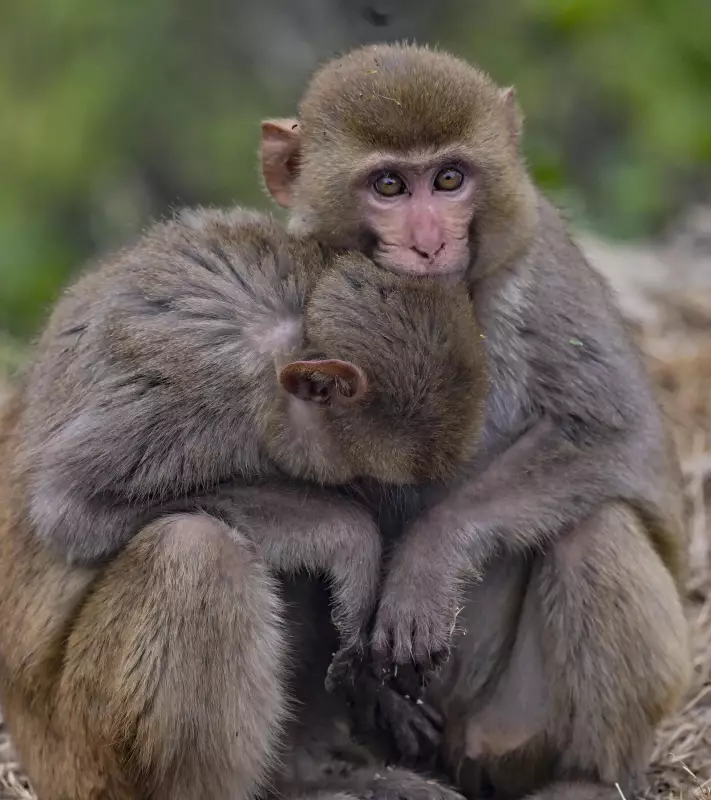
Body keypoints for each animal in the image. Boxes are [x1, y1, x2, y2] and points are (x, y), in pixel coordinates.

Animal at [0, 205, 487, 799]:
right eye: (357, 482)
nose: (372, 503)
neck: (294, 324)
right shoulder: (202, 389)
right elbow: (71, 512)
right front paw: (347, 534)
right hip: (82, 757)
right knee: (196, 549)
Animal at [260, 42, 691, 800]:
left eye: (450, 179)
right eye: (390, 186)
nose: (431, 244)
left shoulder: (538, 263)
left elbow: (615, 429)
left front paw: (427, 561)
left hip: (514, 725)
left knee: (594, 528)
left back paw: (586, 777)